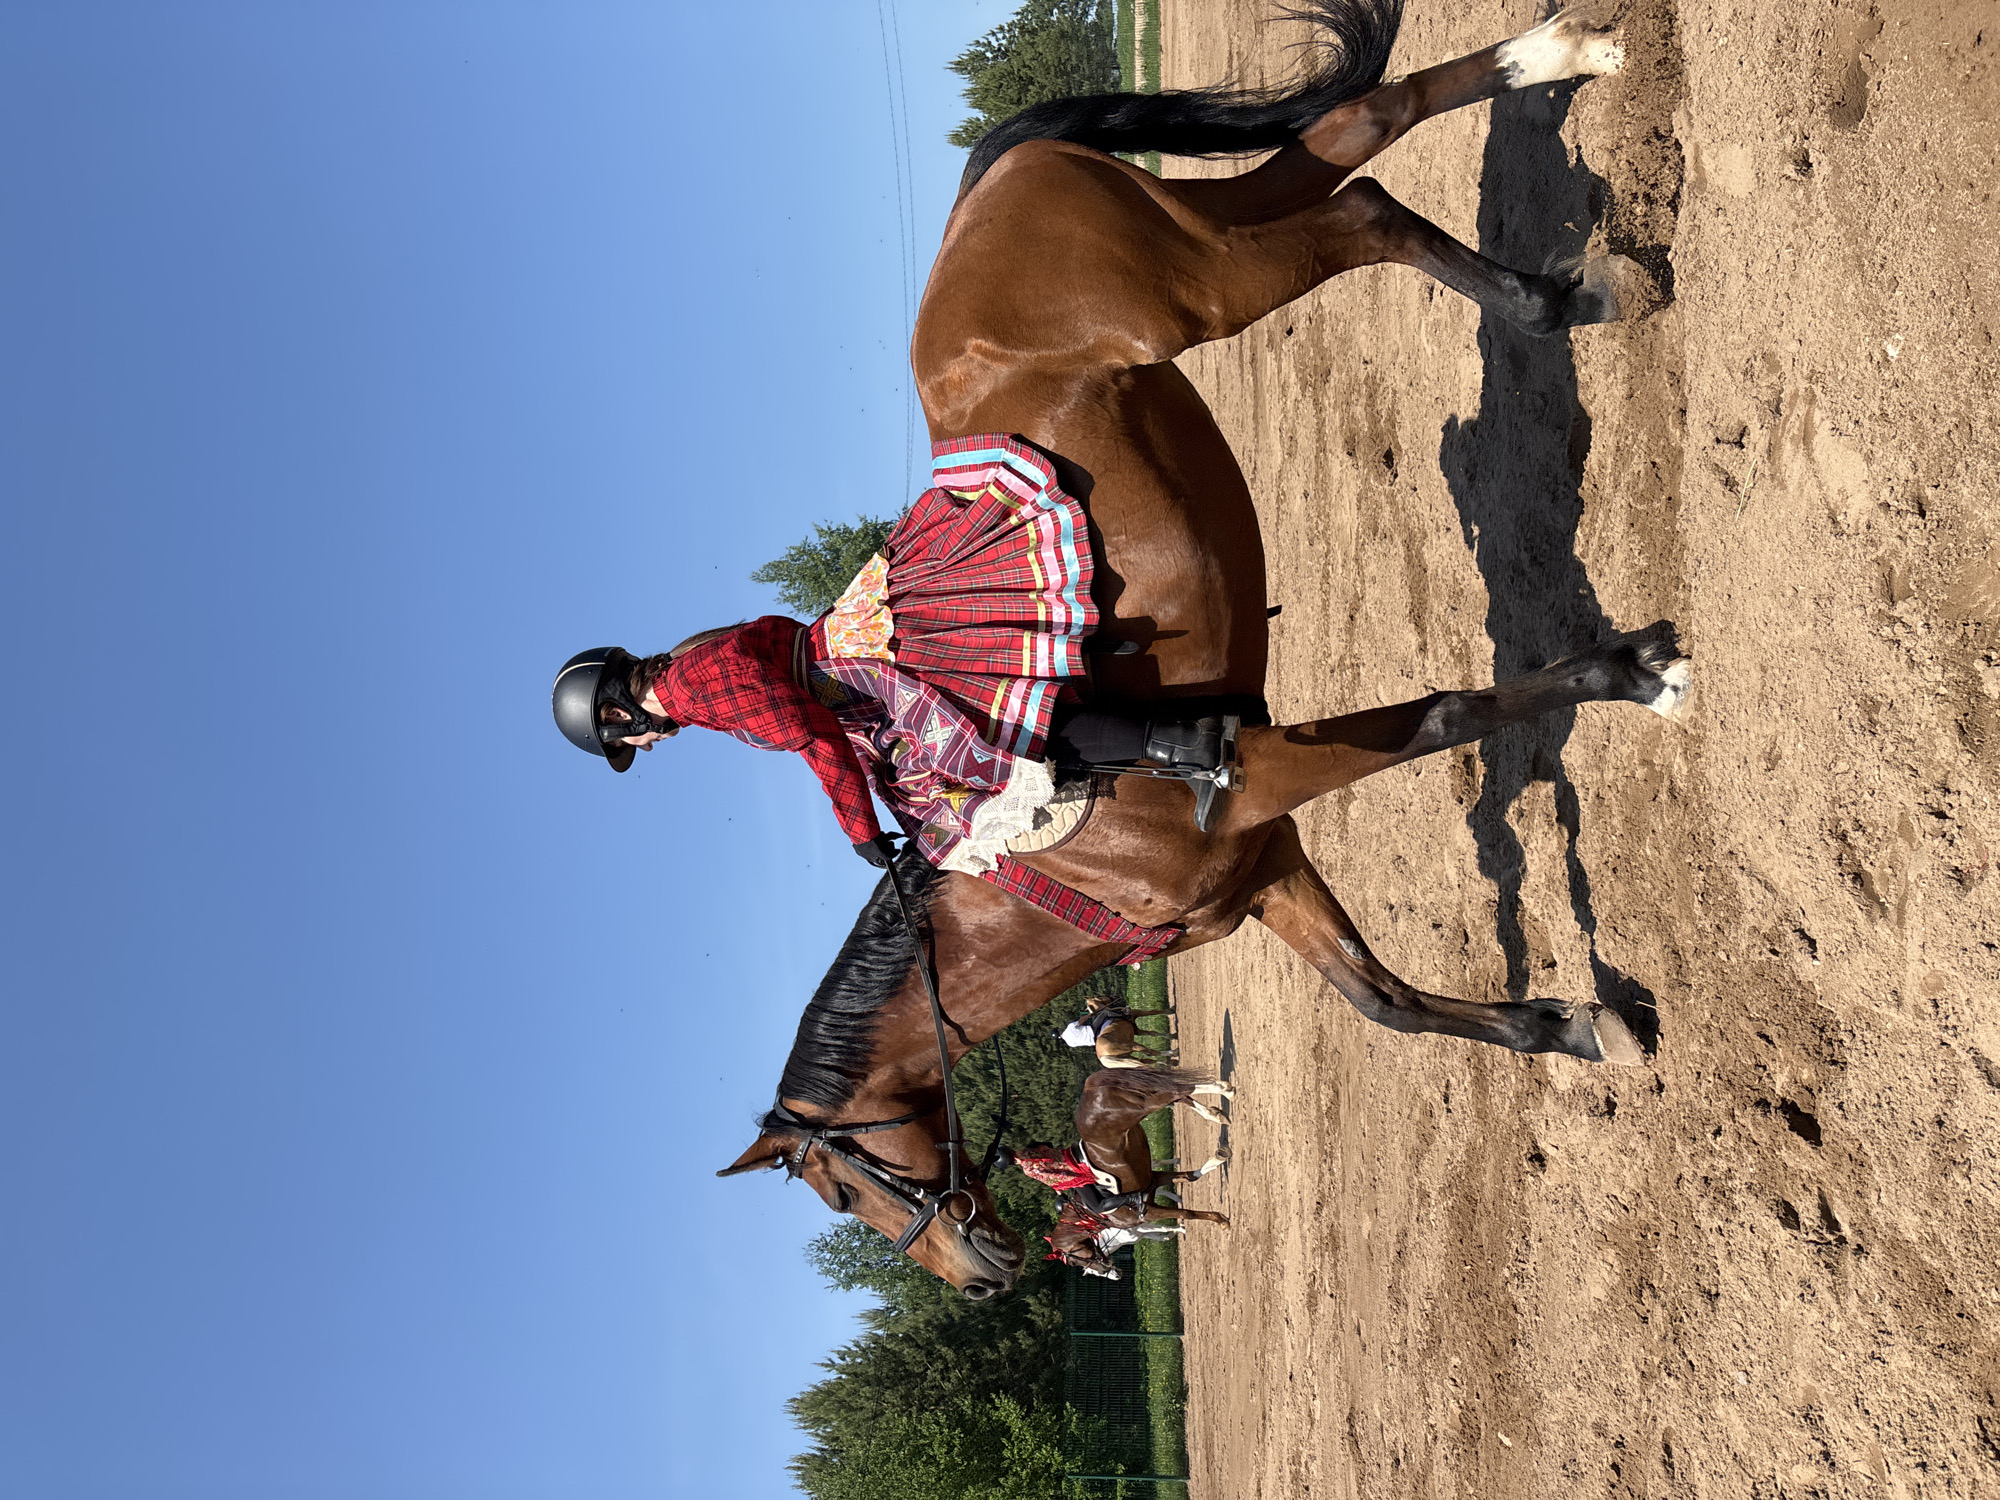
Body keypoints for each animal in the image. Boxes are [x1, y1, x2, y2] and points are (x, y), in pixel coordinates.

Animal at [720, 3, 1681, 1298]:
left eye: (841, 1188)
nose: (981, 1274)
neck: (1064, 869)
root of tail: (978, 196)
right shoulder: (1265, 864)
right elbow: (1383, 1003)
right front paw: (1572, 1026)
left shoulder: (1265, 777)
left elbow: (1441, 717)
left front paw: (1636, 674)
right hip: (1201, 234)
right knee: (1356, 138)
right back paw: (1556, 88)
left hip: (1201, 283)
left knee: (1360, 204)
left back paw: (1555, 268)